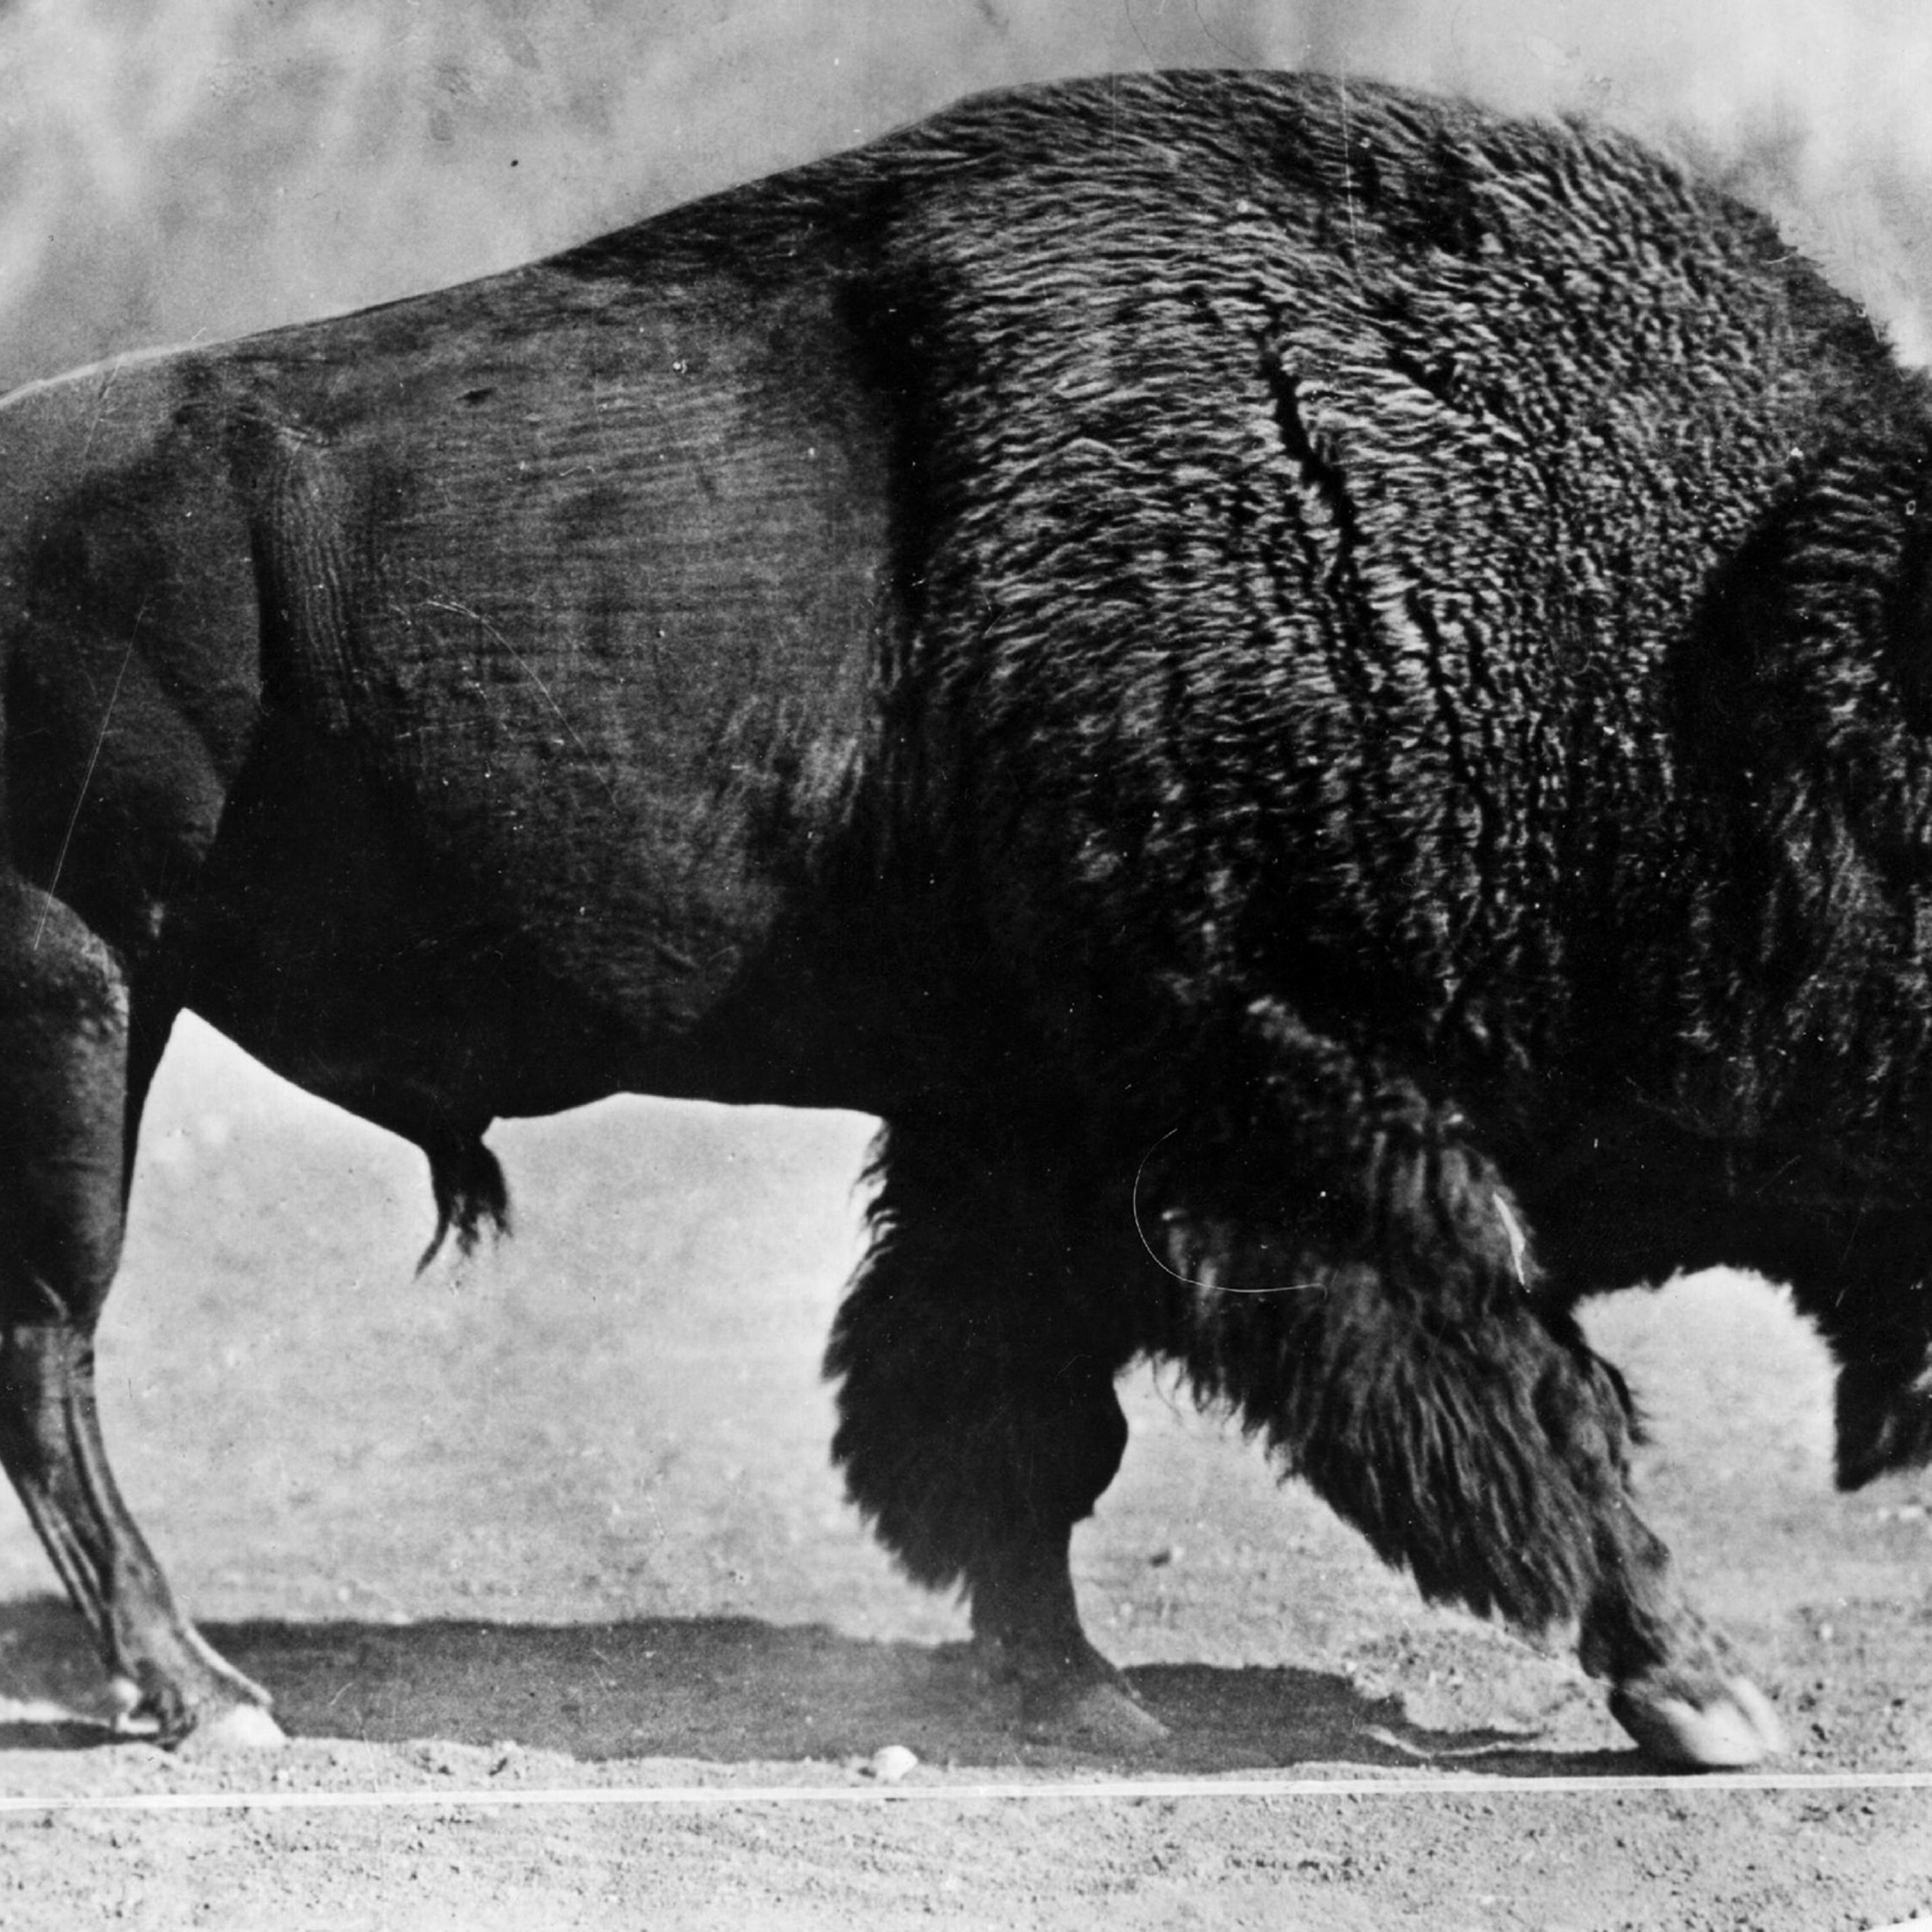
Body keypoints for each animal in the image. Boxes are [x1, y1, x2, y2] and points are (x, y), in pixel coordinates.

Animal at [0, 68, 1921, 1766]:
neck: (1697, 645)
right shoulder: (1315, 1121)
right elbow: (1529, 1398)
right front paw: (1704, 1693)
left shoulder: (1034, 1139)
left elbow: (1002, 1415)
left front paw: (1067, 1683)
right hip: (84, 1004)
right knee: (53, 1349)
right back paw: (208, 1696)